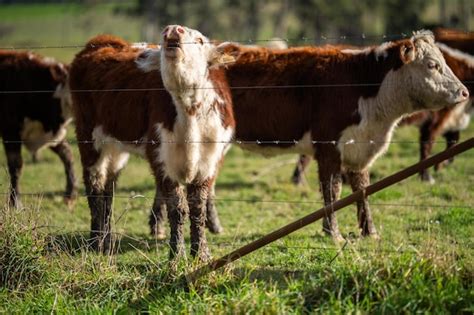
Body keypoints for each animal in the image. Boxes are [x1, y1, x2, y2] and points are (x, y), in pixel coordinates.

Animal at [0, 50, 77, 209]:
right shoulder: (10, 129)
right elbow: (16, 165)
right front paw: (15, 202)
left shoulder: (49, 133)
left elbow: (67, 155)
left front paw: (70, 194)